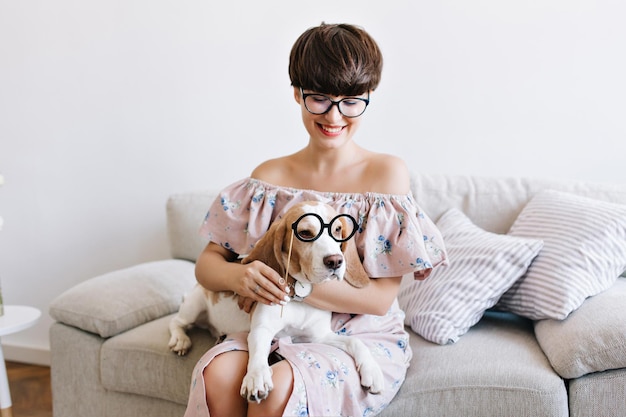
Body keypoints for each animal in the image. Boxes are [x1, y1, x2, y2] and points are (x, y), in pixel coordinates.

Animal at [171, 200, 386, 402]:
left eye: (338, 230)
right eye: (305, 233)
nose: (335, 261)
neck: (300, 299)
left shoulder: (318, 336)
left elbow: (355, 341)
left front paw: (373, 371)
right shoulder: (262, 330)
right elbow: (258, 354)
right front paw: (256, 377)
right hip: (194, 305)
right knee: (177, 322)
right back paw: (180, 340)